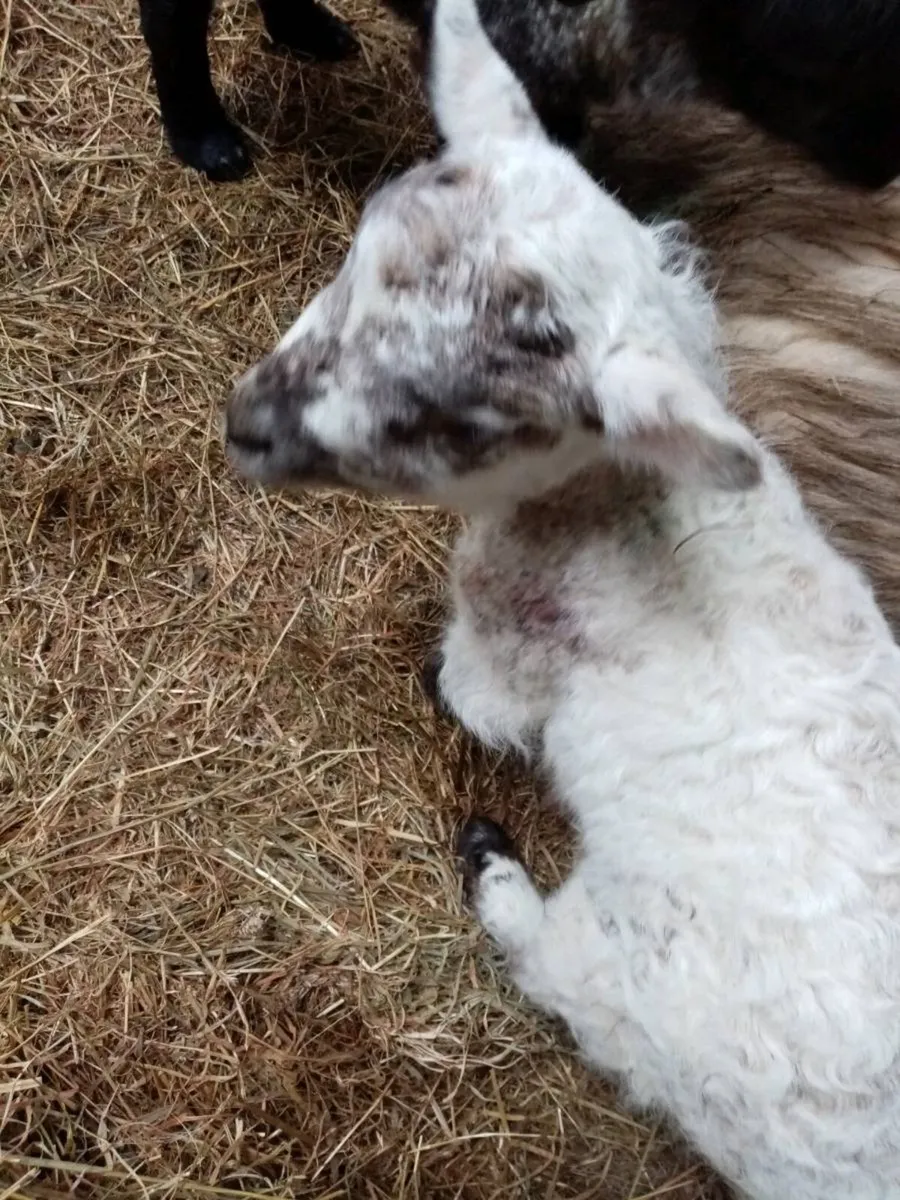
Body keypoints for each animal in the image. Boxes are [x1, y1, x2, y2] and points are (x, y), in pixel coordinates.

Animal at [224, 0, 900, 1195]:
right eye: (357, 255)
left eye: (462, 422)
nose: (246, 424)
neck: (636, 519)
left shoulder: (508, 643)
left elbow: (472, 692)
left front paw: (434, 688)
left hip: (651, 997)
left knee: (562, 970)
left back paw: (493, 869)